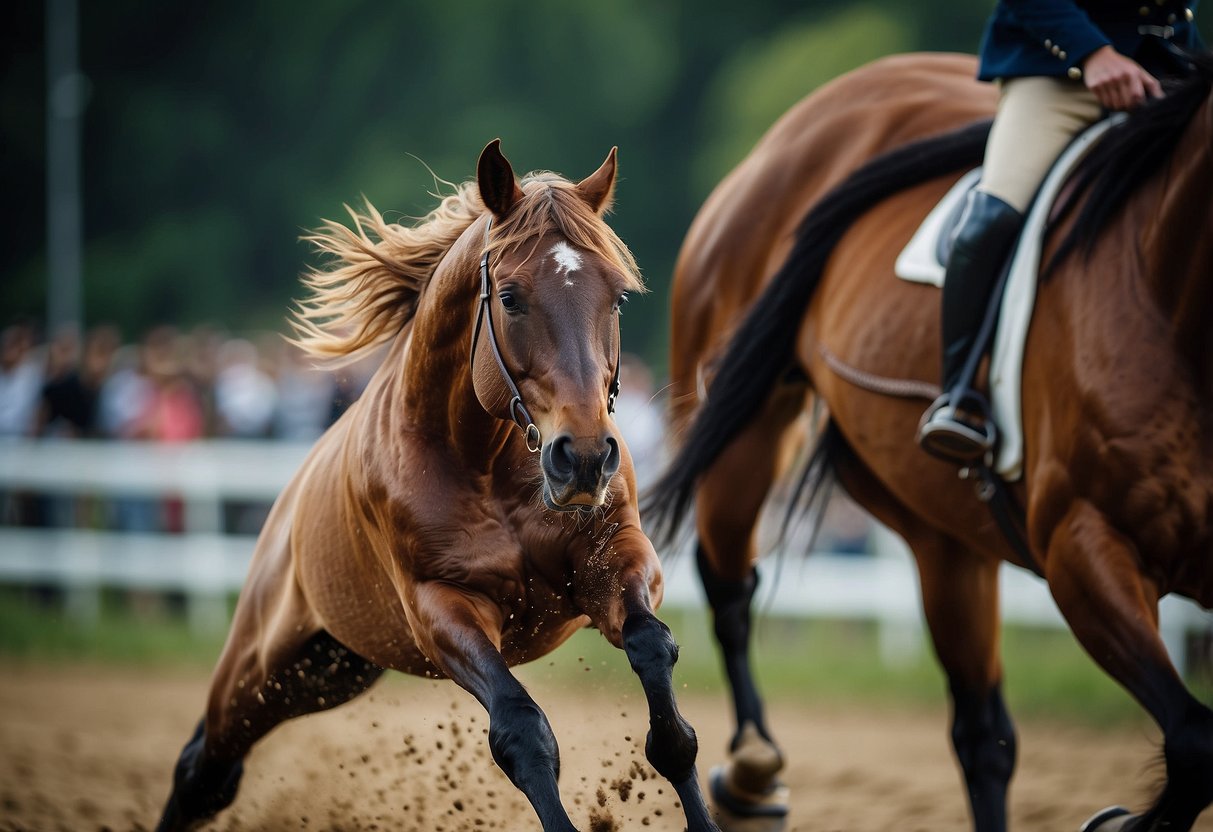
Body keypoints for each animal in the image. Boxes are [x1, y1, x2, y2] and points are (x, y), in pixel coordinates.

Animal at [152, 141, 718, 832]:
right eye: (510, 298)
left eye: (617, 298)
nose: (584, 458)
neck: (485, 461)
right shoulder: (442, 607)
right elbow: (523, 730)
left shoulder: (617, 559)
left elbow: (655, 662)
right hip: (261, 667)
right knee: (203, 767)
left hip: (327, 670)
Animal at [650, 53, 1213, 832]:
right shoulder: (1082, 546)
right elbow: (1194, 739)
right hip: (751, 426)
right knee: (728, 581)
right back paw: (753, 769)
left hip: (944, 534)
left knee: (983, 736)